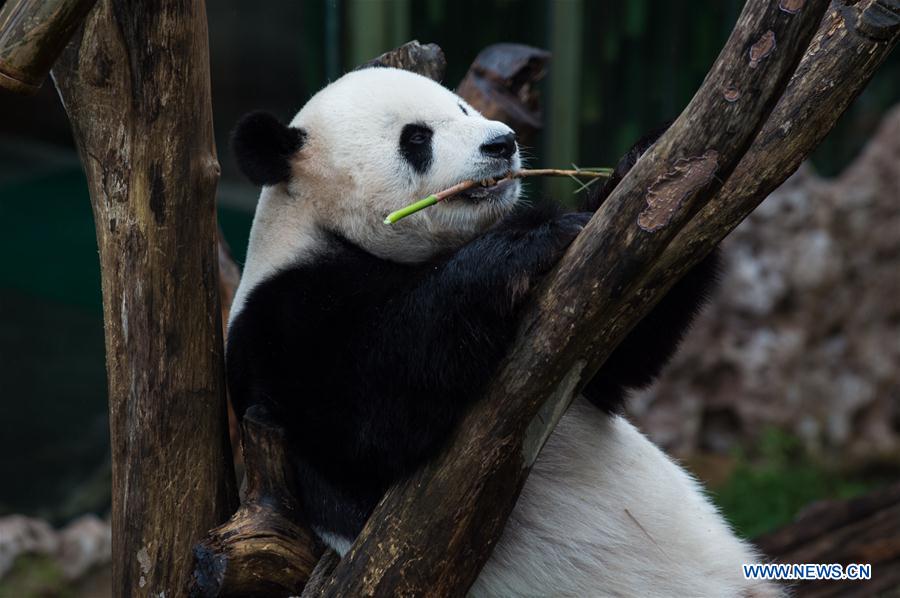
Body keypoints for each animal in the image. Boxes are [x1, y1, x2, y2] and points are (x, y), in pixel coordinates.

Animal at [227, 68, 780, 596]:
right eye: (416, 138)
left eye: (462, 107)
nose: (502, 143)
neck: (322, 227)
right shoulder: (282, 325)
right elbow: (374, 408)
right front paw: (536, 235)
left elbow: (626, 345)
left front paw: (645, 155)